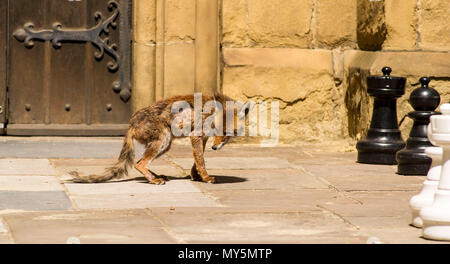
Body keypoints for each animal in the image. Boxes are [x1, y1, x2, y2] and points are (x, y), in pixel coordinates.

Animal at [70, 94, 250, 185]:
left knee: (138, 163)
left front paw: (196, 176)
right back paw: (153, 180)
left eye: (228, 133)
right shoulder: (196, 136)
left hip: (164, 145)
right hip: (163, 140)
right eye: (216, 128)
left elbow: (197, 161)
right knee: (140, 164)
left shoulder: (202, 138)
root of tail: (131, 122)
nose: (215, 148)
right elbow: (201, 161)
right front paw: (205, 178)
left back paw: (155, 176)